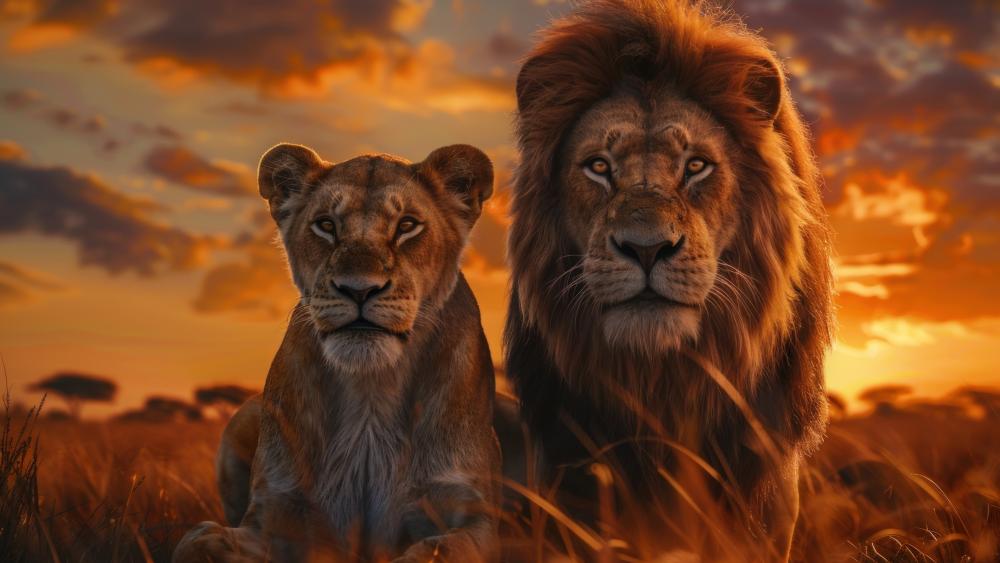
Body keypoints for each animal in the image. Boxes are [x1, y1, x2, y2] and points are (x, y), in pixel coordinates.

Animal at [174, 143, 501, 562]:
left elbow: (440, 549)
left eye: (407, 225)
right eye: (326, 225)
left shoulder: (471, 512)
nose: (359, 288)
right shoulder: (277, 511)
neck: (371, 392)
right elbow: (196, 538)